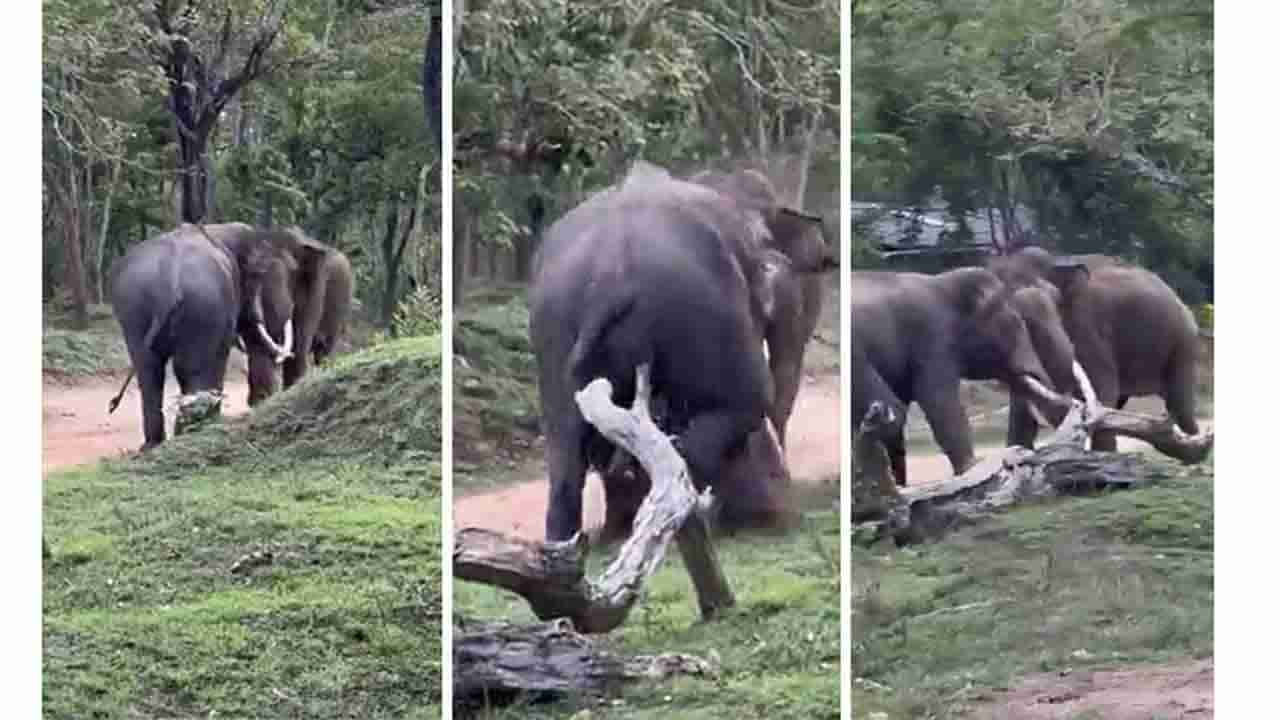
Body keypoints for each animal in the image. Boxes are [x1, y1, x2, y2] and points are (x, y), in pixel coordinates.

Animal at [849, 266, 1070, 484]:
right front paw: (971, 469)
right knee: (894, 412)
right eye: (1015, 325)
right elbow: (939, 402)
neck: (943, 281)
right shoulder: (932, 337)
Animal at [983, 245, 1203, 448]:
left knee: (1178, 404)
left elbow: (1103, 393)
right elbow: (1020, 415)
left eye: (1055, 299)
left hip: (1183, 343)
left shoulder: (1088, 327)